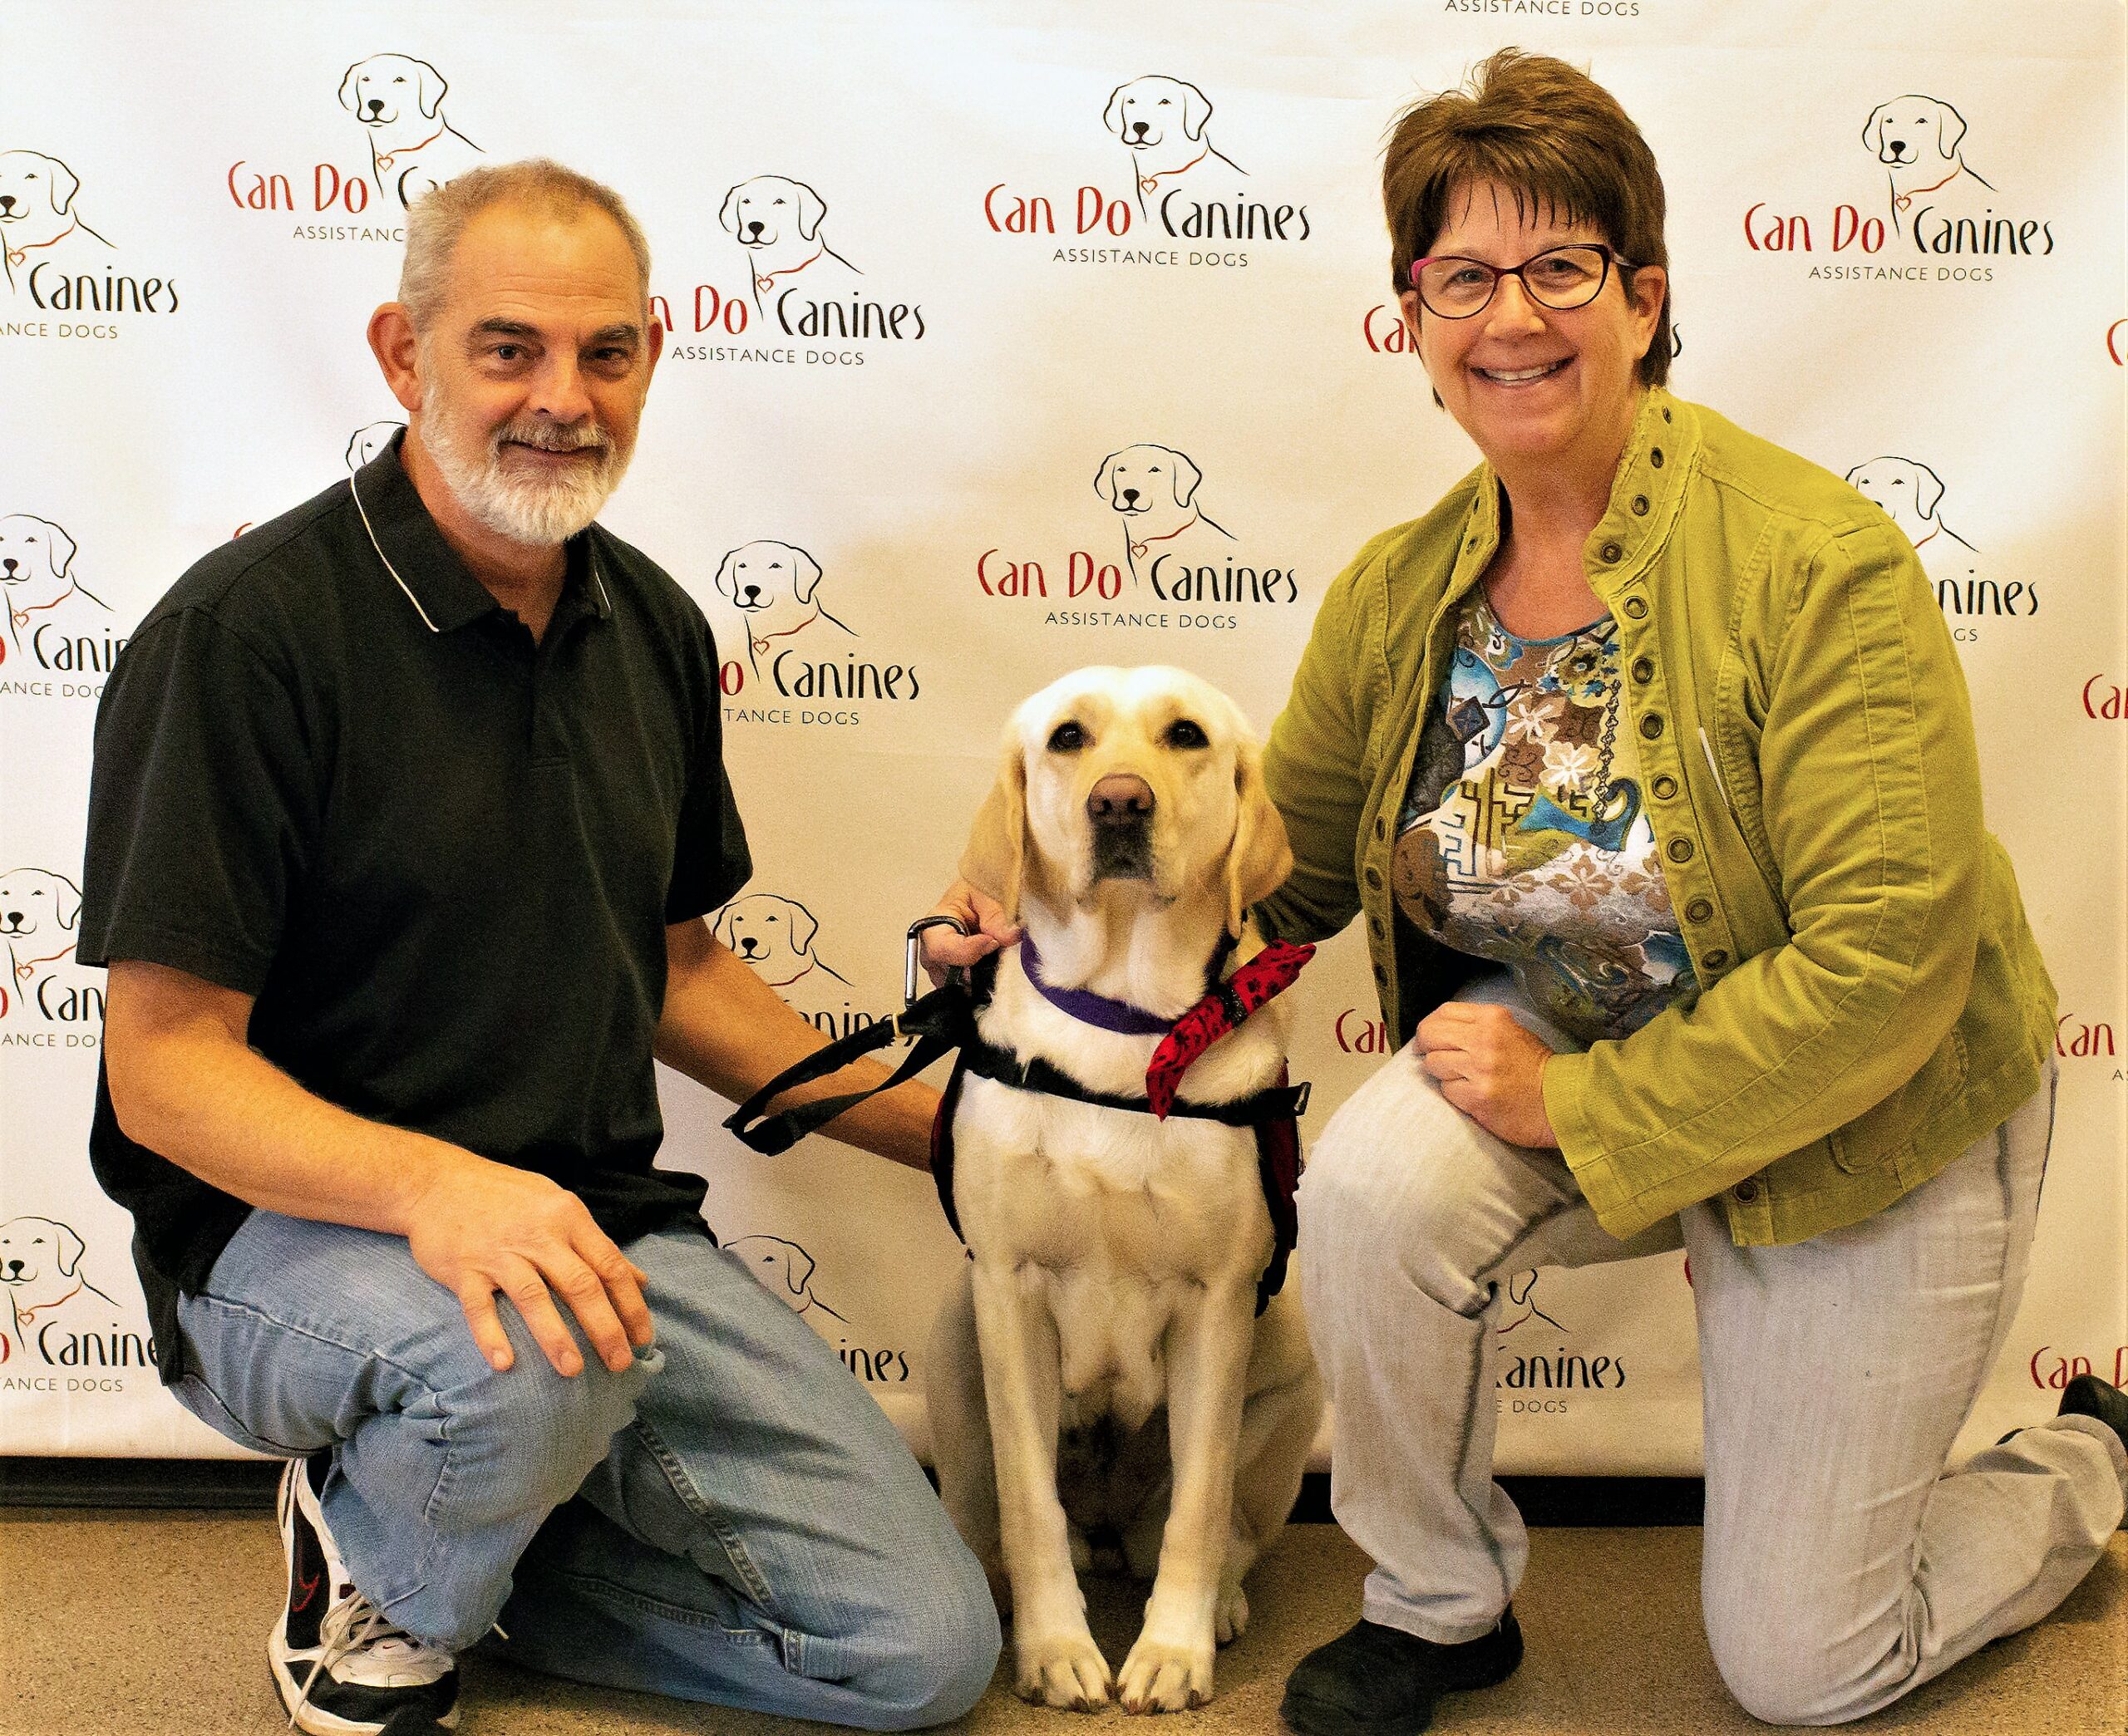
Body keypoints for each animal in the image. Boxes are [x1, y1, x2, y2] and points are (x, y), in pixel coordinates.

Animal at [928, 663, 1310, 1710]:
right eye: (1068, 737)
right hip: (951, 1349)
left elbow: (1197, 1507)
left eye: (1185, 735)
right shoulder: (1007, 1289)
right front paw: (1057, 1649)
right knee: (997, 1518)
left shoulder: (1217, 1304)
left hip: (1293, 1379)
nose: (1120, 802)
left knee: (1223, 1529)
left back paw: (1217, 1603)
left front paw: (1172, 1651)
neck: (1122, 1020)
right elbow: (1029, 1507)